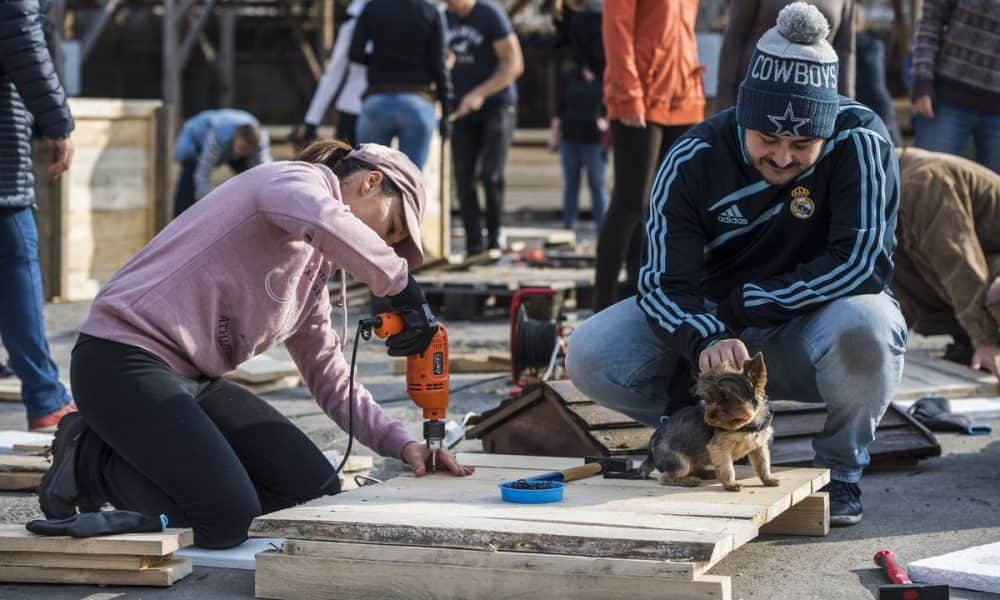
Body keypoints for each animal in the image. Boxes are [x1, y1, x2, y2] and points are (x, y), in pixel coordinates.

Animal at [644, 352, 776, 492]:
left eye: (726, 397)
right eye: (709, 399)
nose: (710, 416)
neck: (748, 424)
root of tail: (650, 451)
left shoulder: (759, 446)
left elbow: (763, 464)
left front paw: (768, 479)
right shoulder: (719, 448)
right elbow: (727, 468)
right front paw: (731, 484)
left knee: (694, 468)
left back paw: (706, 473)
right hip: (680, 461)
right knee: (665, 477)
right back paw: (689, 481)